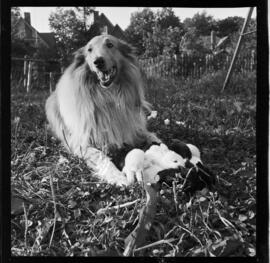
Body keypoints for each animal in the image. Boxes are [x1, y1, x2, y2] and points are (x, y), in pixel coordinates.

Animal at [46, 35, 160, 187]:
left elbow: (153, 136)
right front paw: (118, 177)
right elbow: (101, 156)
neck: (108, 95)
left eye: (110, 44)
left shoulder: (134, 129)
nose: (98, 62)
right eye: (89, 50)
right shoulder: (82, 143)